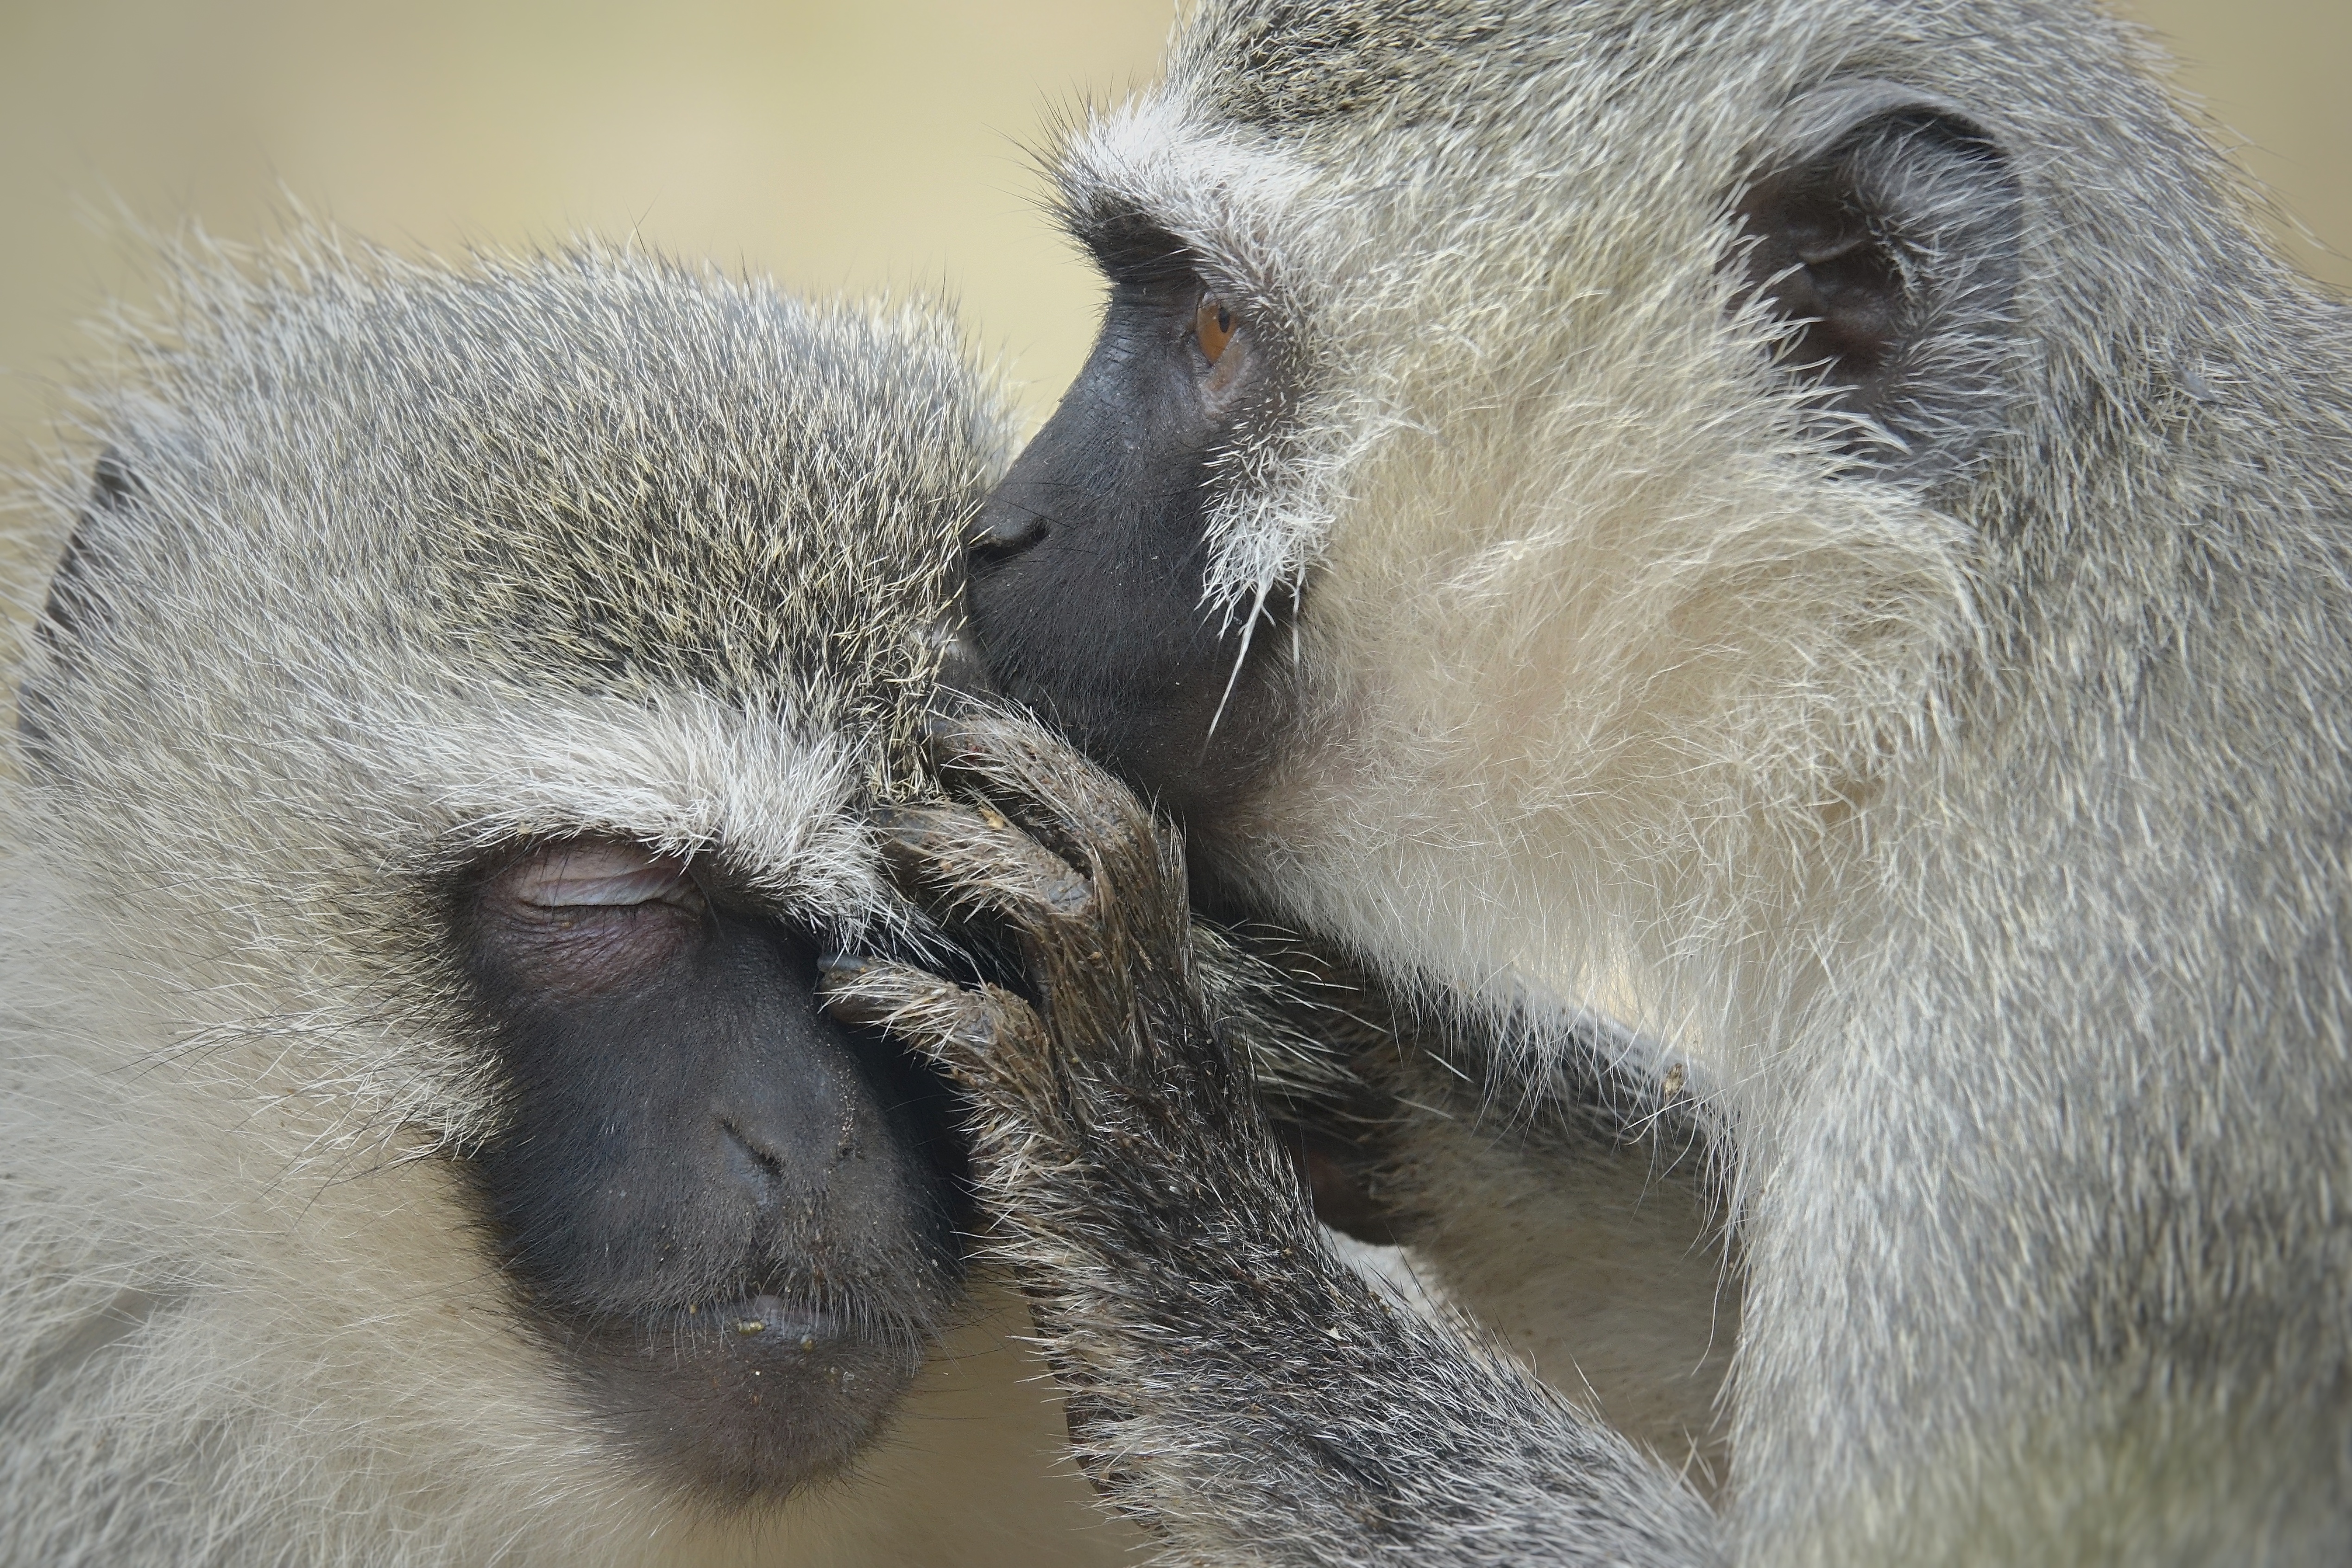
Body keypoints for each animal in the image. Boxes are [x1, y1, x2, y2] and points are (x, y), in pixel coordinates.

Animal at [821, 0, 2352, 1562]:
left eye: (1212, 323)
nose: (997, 533)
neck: (1971, 641)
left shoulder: (2079, 1079)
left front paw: (1152, 1168)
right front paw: (1338, 1043)